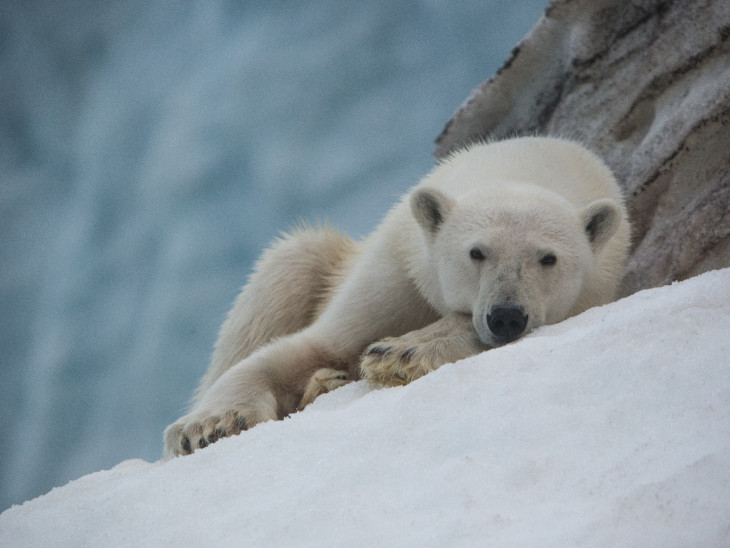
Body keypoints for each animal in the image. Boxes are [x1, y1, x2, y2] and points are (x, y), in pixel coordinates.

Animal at [162, 136, 628, 458]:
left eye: (548, 258)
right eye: (476, 252)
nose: (506, 316)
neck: (525, 166)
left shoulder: (593, 290)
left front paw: (400, 353)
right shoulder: (399, 266)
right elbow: (307, 347)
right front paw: (210, 425)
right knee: (283, 274)